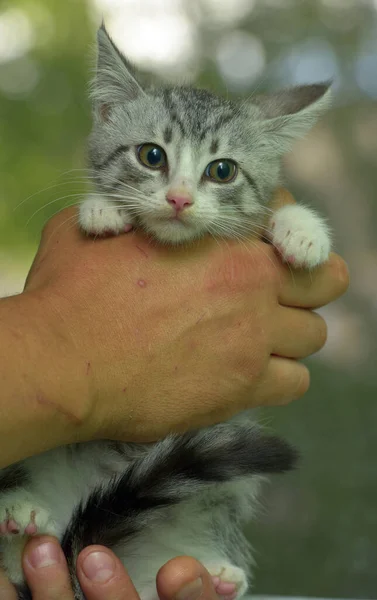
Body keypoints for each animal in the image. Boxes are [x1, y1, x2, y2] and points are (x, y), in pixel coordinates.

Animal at [0, 27, 328, 600]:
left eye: (222, 170)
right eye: (151, 155)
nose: (178, 199)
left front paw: (302, 230)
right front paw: (103, 209)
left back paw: (214, 573)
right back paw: (21, 515)